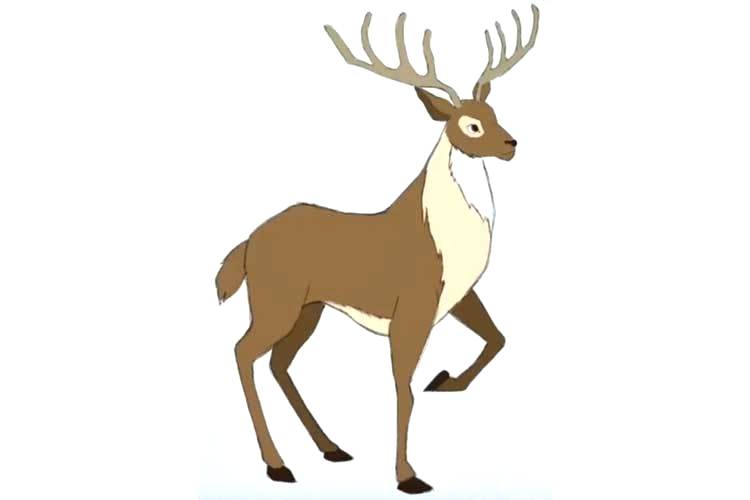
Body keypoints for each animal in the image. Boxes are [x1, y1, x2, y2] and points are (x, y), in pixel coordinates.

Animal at [215, 5, 540, 494]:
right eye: (471, 124)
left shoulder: (457, 294)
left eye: (493, 111)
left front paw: (444, 380)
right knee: (242, 352)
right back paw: (277, 465)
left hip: (308, 308)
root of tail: (249, 243)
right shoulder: (413, 304)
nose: (511, 144)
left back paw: (331, 448)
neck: (444, 236)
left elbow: (497, 338)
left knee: (278, 364)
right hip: (277, 300)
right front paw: (408, 476)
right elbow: (402, 388)